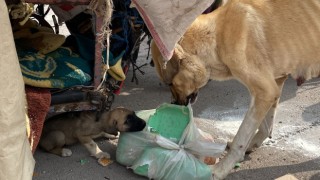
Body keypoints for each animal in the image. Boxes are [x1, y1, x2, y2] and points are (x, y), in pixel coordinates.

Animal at [151, 0, 320, 179]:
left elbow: (240, 138)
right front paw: (254, 143)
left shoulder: (265, 92)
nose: (174, 104)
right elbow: (266, 125)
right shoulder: (274, 86)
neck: (218, 35)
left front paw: (221, 169)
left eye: (170, 84)